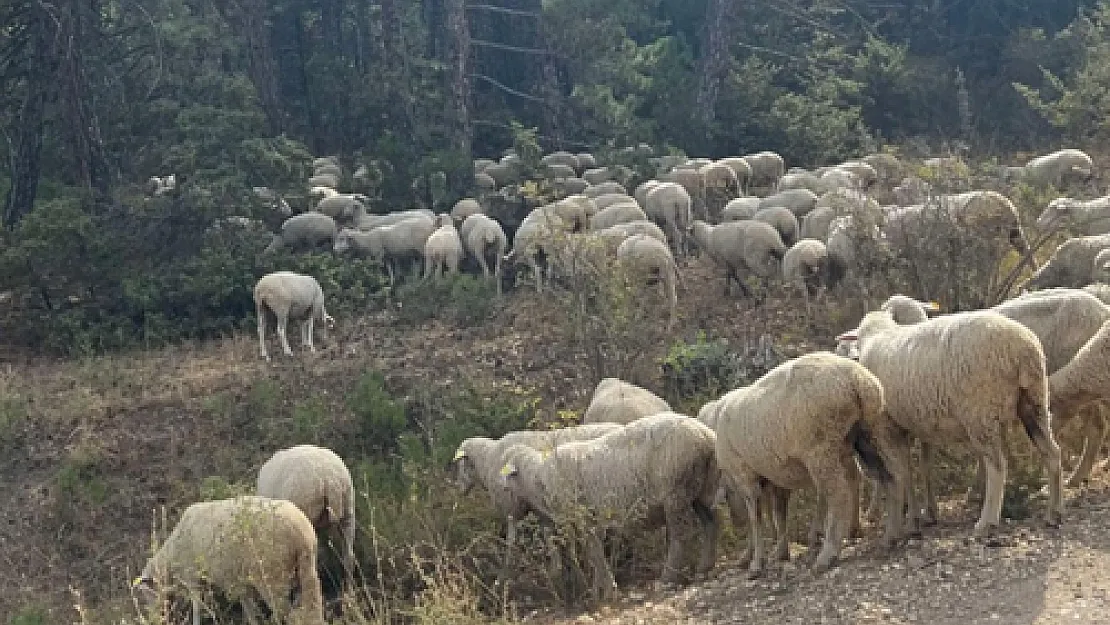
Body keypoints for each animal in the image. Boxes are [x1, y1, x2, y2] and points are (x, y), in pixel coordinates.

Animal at [132, 497, 324, 625]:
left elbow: (197, 606)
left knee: (288, 613)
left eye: (146, 594)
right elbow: (249, 608)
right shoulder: (239, 582)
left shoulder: (192, 577)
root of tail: (301, 532)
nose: (155, 619)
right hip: (306, 569)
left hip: (272, 576)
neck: (170, 556)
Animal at [450, 424, 626, 586]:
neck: (488, 460)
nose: (458, 489)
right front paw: (556, 570)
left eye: (460, 465)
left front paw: (503, 576)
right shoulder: (539, 508)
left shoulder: (513, 508)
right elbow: (548, 536)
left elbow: (511, 542)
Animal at [839, 308, 1065, 537]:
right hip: (1034, 400)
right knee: (1052, 453)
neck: (877, 334)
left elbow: (902, 472)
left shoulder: (888, 425)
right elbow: (911, 470)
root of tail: (1023, 347)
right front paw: (916, 519)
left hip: (980, 411)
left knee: (997, 465)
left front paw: (911, 521)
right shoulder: (908, 426)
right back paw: (1053, 513)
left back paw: (987, 521)